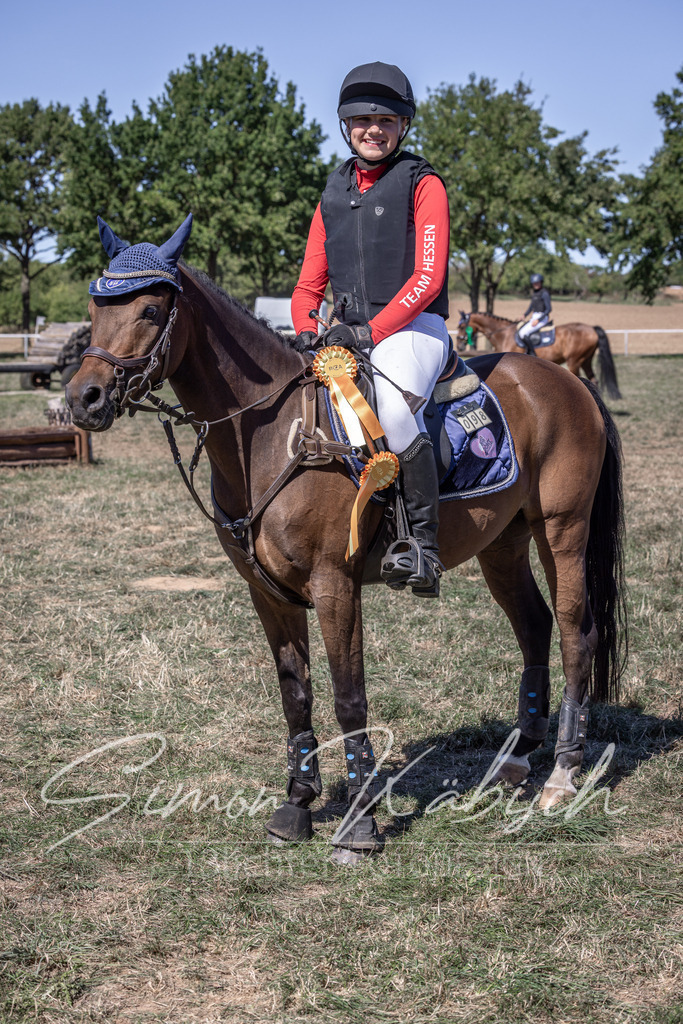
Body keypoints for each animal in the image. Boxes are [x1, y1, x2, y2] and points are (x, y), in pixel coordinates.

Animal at [456, 311, 622, 400]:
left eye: (463, 326)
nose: (459, 345)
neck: (504, 334)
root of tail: (591, 329)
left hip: (575, 361)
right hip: (586, 360)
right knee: (594, 380)